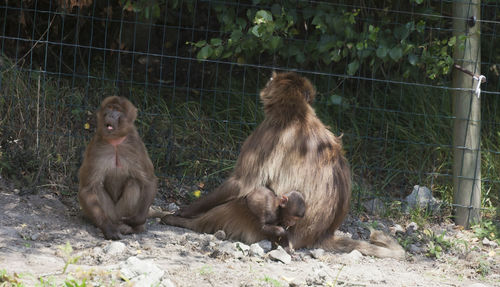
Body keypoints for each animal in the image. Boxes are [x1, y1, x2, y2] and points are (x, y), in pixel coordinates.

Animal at [78, 96, 157, 241]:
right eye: (109, 108)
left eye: (118, 111)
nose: (110, 115)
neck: (115, 142)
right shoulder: (96, 147)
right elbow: (87, 189)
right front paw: (108, 229)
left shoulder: (136, 146)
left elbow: (149, 182)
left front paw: (136, 220)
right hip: (111, 213)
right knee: (96, 188)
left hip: (121, 212)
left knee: (133, 183)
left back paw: (132, 227)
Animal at [162, 71, 404, 258]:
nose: (267, 82)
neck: (300, 115)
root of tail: (321, 234)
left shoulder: (268, 130)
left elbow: (240, 184)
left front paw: (184, 212)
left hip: (257, 224)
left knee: (244, 200)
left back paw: (185, 224)